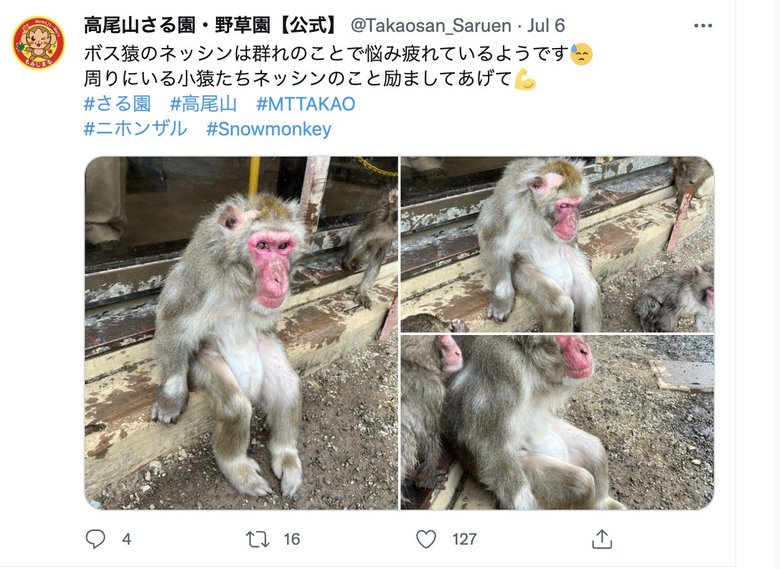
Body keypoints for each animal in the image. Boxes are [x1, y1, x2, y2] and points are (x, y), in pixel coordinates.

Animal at [151, 194, 306, 498]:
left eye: (283, 246)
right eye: (262, 245)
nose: (279, 278)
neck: (239, 276)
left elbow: (267, 323)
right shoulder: (200, 275)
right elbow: (172, 323)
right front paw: (171, 397)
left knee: (287, 386)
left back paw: (285, 455)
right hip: (207, 362)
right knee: (237, 406)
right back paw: (237, 468)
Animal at [400, 314, 463, 492]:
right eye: (443, 339)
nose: (457, 352)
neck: (412, 360)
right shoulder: (432, 391)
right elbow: (428, 438)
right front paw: (424, 480)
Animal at [443, 335, 624, 510]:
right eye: (563, 337)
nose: (584, 350)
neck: (526, 356)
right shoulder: (502, 366)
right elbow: (491, 448)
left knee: (593, 449)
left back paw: (601, 505)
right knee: (581, 482)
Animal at [477, 158, 602, 331]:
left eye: (576, 204)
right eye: (564, 206)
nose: (573, 224)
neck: (536, 211)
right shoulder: (507, 207)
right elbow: (492, 243)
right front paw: (502, 299)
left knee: (590, 292)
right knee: (561, 306)